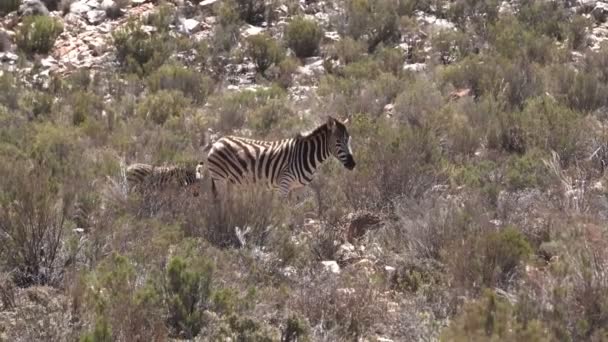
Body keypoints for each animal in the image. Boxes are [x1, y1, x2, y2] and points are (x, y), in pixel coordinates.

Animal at [201, 117, 356, 198]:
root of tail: (218, 141)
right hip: (220, 178)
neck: (305, 155)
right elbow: (283, 213)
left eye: (348, 140)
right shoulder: (284, 185)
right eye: (338, 142)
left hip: (230, 182)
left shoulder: (298, 188)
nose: (352, 164)